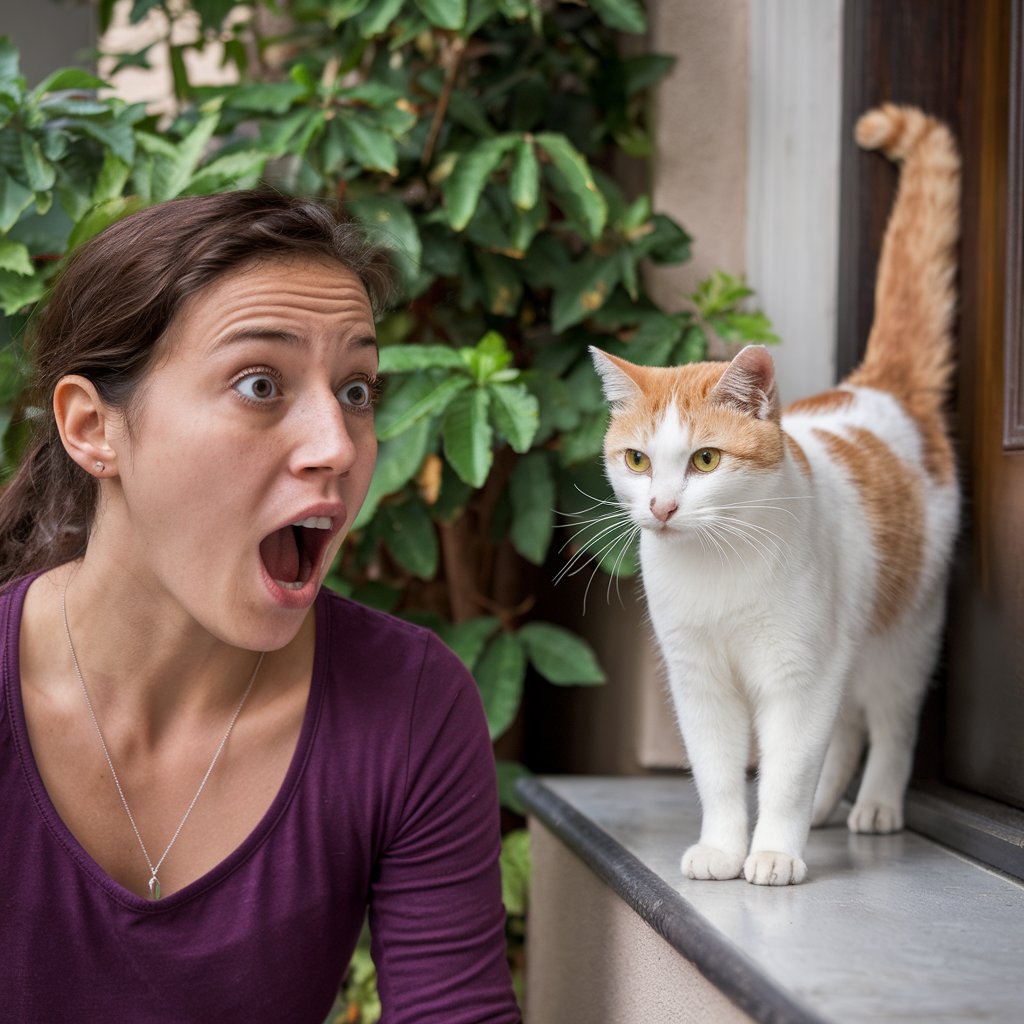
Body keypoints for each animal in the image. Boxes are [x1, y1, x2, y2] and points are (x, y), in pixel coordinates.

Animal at [593, 105, 958, 888]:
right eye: (637, 460)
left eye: (705, 459)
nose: (661, 507)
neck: (718, 567)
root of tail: (877, 385)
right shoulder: (699, 681)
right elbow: (719, 773)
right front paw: (725, 848)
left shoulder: (799, 674)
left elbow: (786, 769)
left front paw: (773, 853)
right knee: (846, 729)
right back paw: (827, 804)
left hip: (904, 634)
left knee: (890, 722)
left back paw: (874, 805)